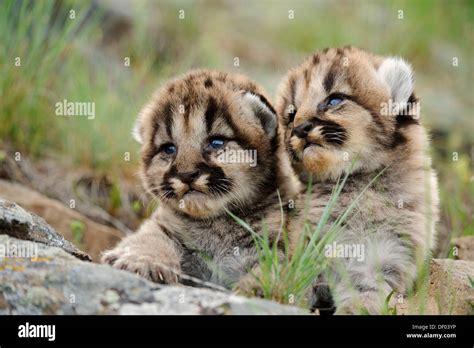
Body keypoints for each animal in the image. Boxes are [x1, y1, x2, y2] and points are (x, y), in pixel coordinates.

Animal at [102, 69, 298, 290]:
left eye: (216, 142)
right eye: (169, 148)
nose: (186, 175)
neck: (215, 224)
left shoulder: (272, 247)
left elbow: (270, 275)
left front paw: (250, 291)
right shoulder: (164, 225)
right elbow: (149, 237)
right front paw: (140, 261)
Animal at [278, 47, 440, 316]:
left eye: (334, 100)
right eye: (291, 114)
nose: (300, 128)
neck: (358, 184)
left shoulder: (383, 258)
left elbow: (365, 297)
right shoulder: (303, 247)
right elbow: (292, 281)